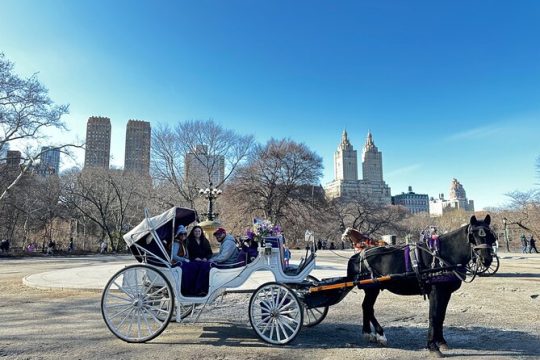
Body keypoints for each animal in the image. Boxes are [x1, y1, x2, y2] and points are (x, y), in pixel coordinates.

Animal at [346, 214, 494, 358]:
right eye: (473, 236)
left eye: (491, 236)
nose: (486, 259)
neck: (442, 256)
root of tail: (358, 255)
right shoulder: (436, 292)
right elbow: (434, 316)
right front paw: (432, 346)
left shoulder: (446, 293)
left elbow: (441, 316)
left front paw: (441, 341)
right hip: (373, 288)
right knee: (368, 307)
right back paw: (380, 334)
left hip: (372, 289)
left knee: (366, 307)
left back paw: (368, 333)